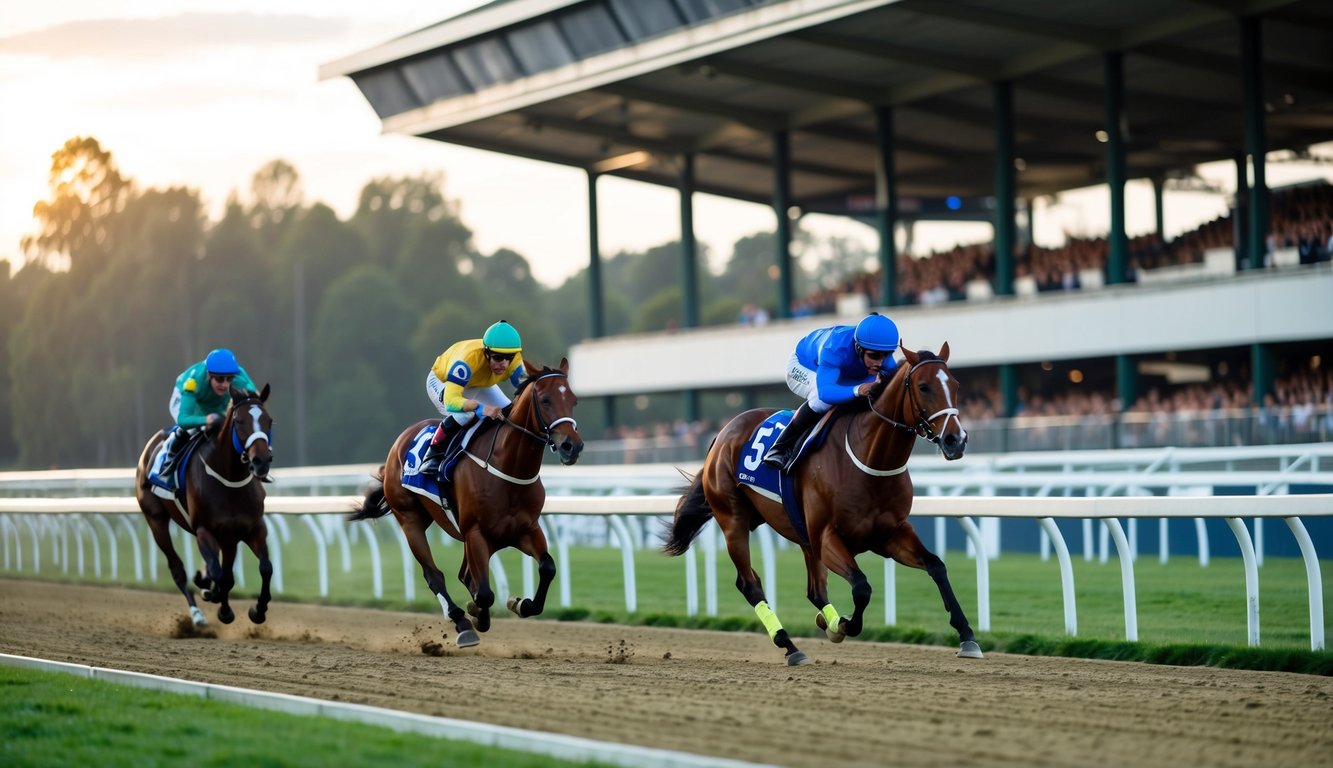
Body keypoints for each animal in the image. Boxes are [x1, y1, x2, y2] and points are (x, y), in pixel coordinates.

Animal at [133, 386, 274, 626]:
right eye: (239, 421)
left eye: (269, 420)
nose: (261, 461)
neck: (230, 479)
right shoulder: (204, 530)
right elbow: (221, 576)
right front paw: (220, 604)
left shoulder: (254, 528)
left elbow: (265, 568)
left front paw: (258, 610)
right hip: (156, 519)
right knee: (178, 569)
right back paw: (197, 613)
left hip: (229, 537)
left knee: (226, 569)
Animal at [351, 360, 581, 648]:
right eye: (546, 399)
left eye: (573, 400)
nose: (572, 446)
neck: (508, 467)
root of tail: (399, 442)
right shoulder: (475, 532)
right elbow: (484, 593)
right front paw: (477, 616)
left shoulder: (525, 529)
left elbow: (547, 567)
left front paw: (520, 604)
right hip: (410, 519)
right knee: (435, 575)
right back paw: (461, 622)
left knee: (464, 575)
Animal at [663, 344, 981, 664]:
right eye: (923, 386)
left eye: (956, 385)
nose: (956, 440)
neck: (869, 461)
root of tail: (722, 433)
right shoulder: (828, 537)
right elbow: (862, 587)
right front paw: (846, 624)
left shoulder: (890, 534)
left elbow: (936, 566)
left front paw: (967, 635)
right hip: (733, 521)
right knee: (749, 583)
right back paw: (789, 645)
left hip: (801, 533)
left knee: (815, 590)